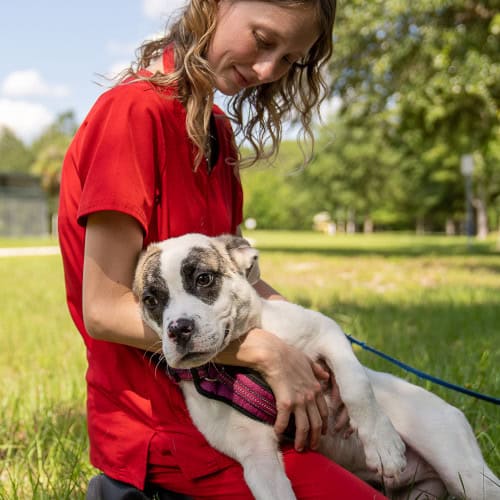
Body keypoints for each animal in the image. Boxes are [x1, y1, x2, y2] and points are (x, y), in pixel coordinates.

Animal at [134, 234, 500, 500]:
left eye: (204, 278)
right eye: (151, 300)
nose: (178, 329)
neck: (246, 368)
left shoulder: (327, 333)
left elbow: (356, 386)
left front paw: (383, 447)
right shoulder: (257, 457)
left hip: (465, 470)